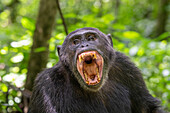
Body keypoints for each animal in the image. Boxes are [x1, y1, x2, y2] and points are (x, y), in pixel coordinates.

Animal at [27, 27, 163, 113]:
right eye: (75, 41)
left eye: (91, 38)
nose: (84, 45)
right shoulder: (47, 84)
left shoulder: (126, 67)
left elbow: (147, 108)